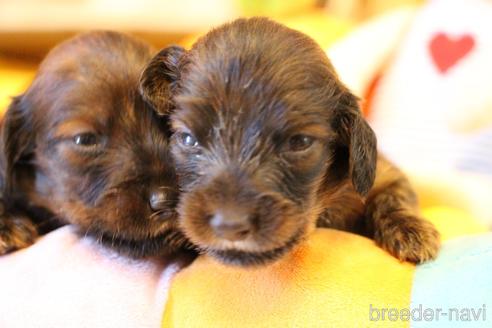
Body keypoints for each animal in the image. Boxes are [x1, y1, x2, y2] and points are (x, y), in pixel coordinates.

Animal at [140, 16, 440, 266]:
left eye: (300, 142)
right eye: (188, 138)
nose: (230, 225)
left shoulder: (384, 174)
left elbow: (393, 196)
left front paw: (412, 231)